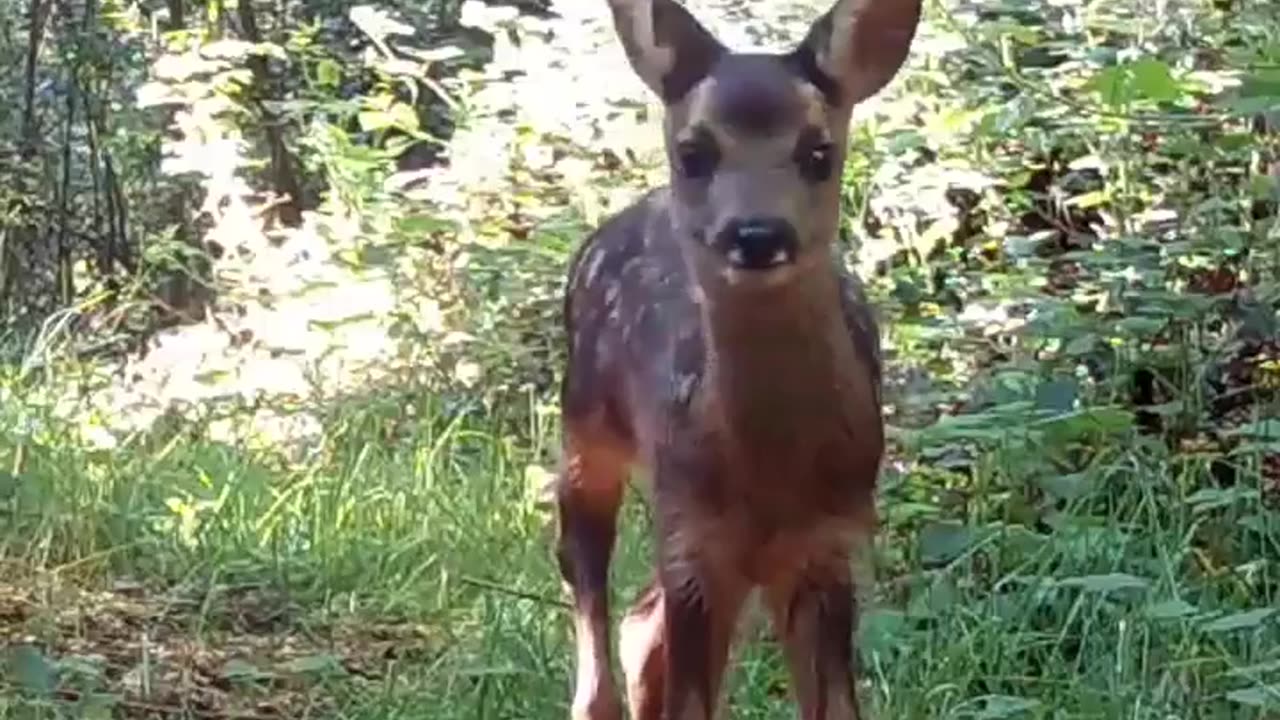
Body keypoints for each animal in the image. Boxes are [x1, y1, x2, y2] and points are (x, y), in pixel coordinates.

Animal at [550, 0, 921, 712]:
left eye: (819, 151)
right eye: (693, 152)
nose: (756, 234)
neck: (769, 479)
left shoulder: (830, 543)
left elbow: (836, 707)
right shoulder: (694, 543)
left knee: (641, 624)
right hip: (586, 428)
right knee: (590, 604)